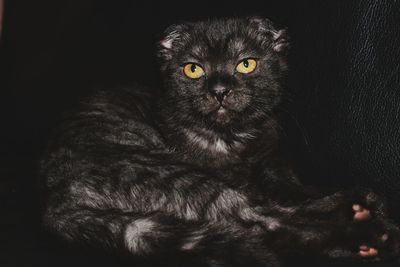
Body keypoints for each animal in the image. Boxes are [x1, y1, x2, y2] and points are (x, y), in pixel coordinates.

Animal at [41, 17, 400, 267]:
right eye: (193, 69)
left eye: (246, 63)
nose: (219, 90)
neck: (235, 140)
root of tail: (58, 207)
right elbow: (281, 203)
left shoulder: (275, 164)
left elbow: (296, 190)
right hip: (174, 174)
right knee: (266, 222)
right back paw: (369, 233)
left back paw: (360, 212)